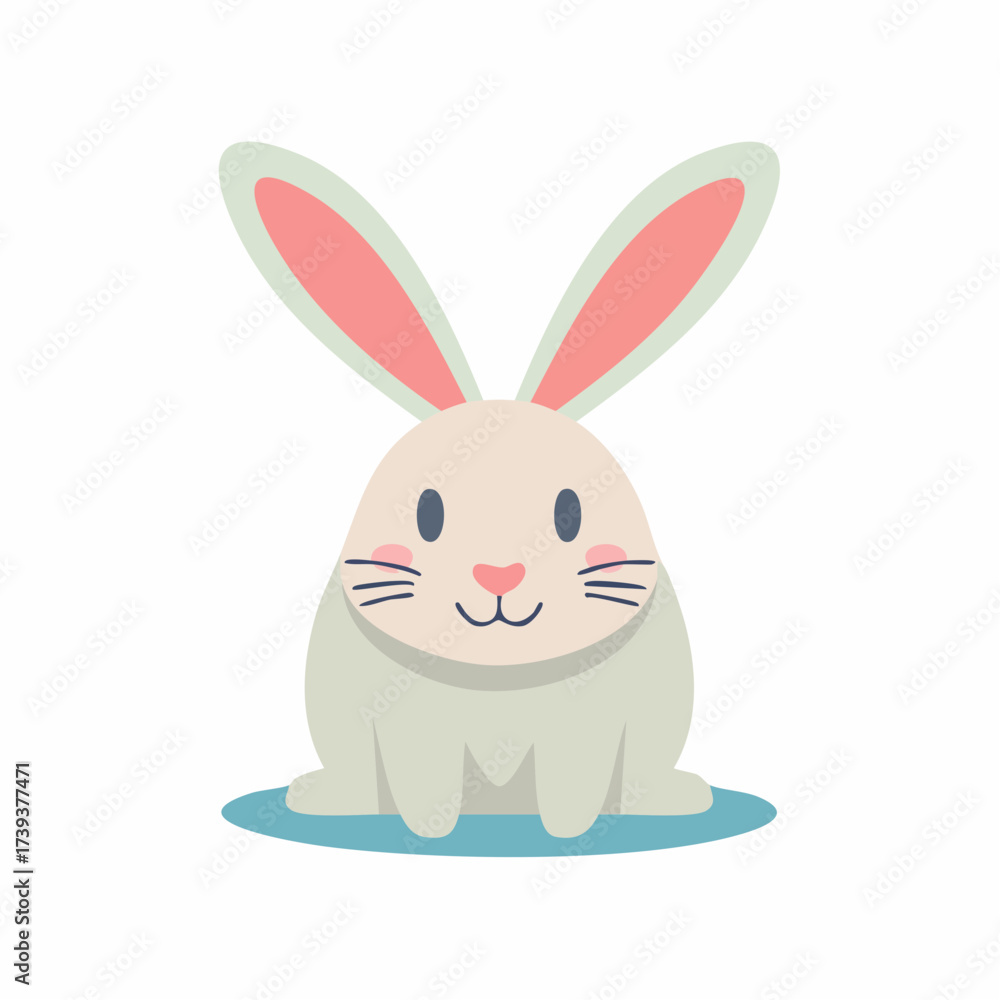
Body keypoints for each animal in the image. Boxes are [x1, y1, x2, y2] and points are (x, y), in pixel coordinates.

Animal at [221, 139, 778, 839]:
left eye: (570, 514)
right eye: (427, 513)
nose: (499, 574)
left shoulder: (586, 723)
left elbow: (573, 782)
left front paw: (567, 834)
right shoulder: (408, 722)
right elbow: (424, 782)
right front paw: (431, 835)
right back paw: (324, 801)